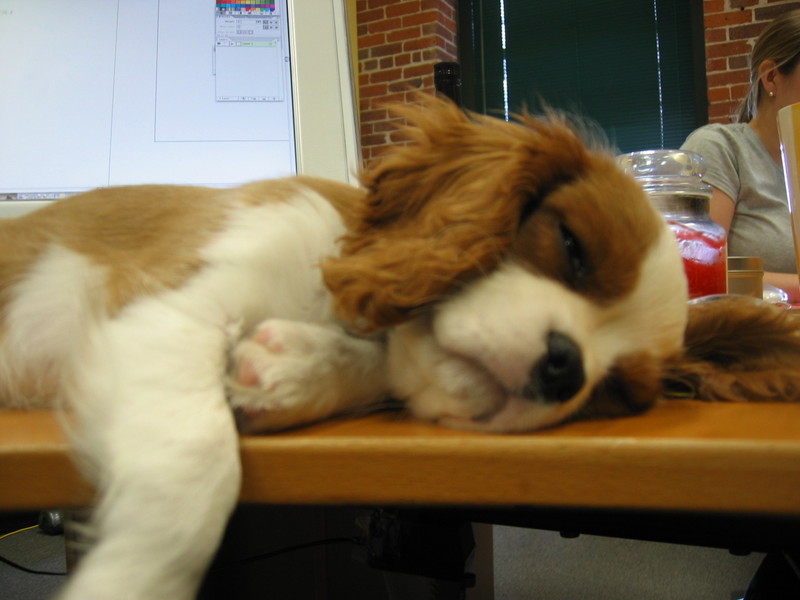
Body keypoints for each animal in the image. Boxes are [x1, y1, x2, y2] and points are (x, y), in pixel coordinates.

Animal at [1, 94, 799, 599]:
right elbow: (193, 470)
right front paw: (125, 579)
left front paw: (286, 370)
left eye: (614, 394)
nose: (563, 367)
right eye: (571, 246)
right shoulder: (160, 310)